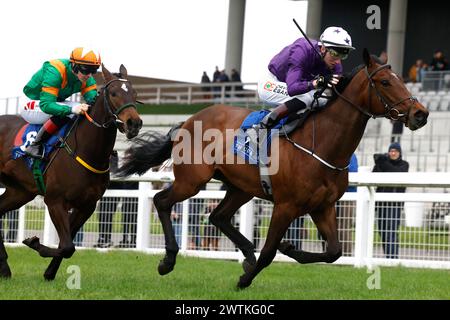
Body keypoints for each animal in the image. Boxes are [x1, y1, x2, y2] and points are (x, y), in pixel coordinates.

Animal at [0, 63, 142, 278]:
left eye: (134, 93)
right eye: (114, 93)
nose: (134, 123)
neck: (86, 150)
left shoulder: (87, 205)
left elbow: (67, 245)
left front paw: (49, 272)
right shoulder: (55, 201)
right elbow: (67, 246)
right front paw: (34, 243)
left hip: (20, 192)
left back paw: (5, 268)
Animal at [118, 49, 428, 288]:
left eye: (402, 80)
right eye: (385, 81)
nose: (421, 114)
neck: (321, 143)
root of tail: (188, 120)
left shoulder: (323, 207)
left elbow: (334, 252)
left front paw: (287, 248)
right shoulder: (286, 206)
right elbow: (269, 252)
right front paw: (246, 280)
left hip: (240, 187)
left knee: (218, 216)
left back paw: (246, 256)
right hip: (192, 180)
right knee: (162, 201)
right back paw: (168, 260)